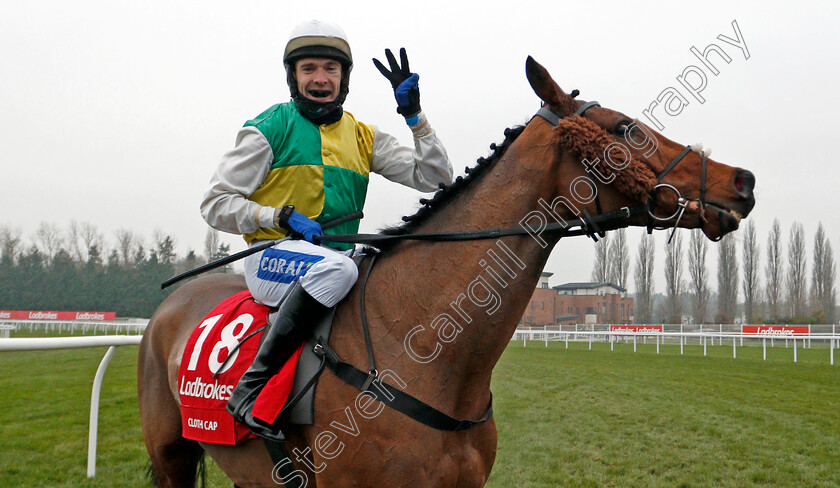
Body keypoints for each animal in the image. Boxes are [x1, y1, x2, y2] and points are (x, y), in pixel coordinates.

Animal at [138, 56, 756, 484]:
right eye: (626, 127)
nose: (742, 180)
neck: (421, 347)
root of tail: (167, 307)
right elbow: (219, 197)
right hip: (171, 454)